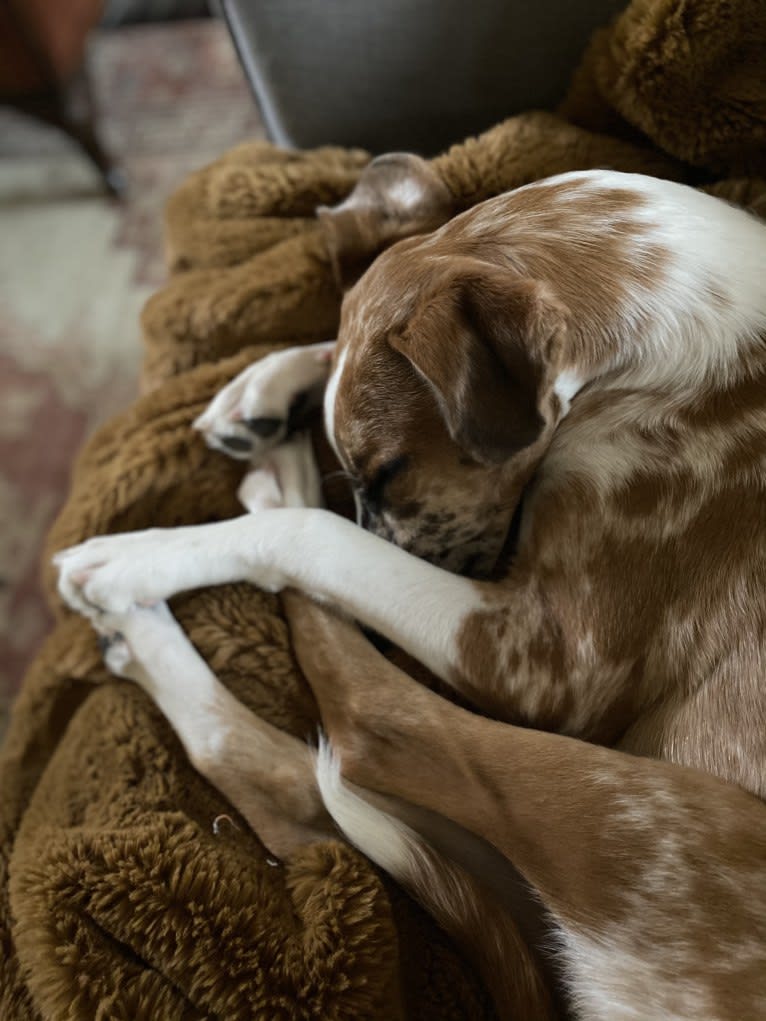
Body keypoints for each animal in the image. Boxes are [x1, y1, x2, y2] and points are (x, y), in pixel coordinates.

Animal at [54, 171, 766, 1016]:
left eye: (390, 470)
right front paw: (263, 385)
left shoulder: (545, 658)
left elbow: (316, 540)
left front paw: (137, 556)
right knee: (304, 793)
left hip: (638, 816)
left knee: (354, 728)